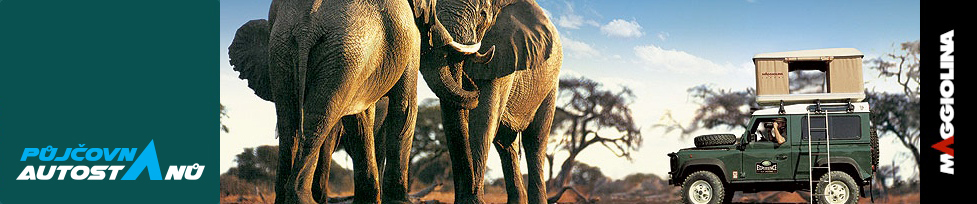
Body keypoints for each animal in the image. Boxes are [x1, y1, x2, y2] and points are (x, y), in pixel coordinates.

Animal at [226, 0, 492, 202]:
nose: (473, 81)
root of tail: (306, 27)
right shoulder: (410, 38)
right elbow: (406, 106)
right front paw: (399, 200)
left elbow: (360, 118)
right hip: (345, 52)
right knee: (319, 119)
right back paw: (302, 198)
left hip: (285, 51)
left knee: (289, 121)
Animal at [414, 0, 564, 202]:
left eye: (483, 14)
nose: (468, 81)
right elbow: (452, 119)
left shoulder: (504, 54)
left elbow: (483, 119)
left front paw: (472, 202)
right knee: (506, 145)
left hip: (550, 86)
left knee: (535, 142)